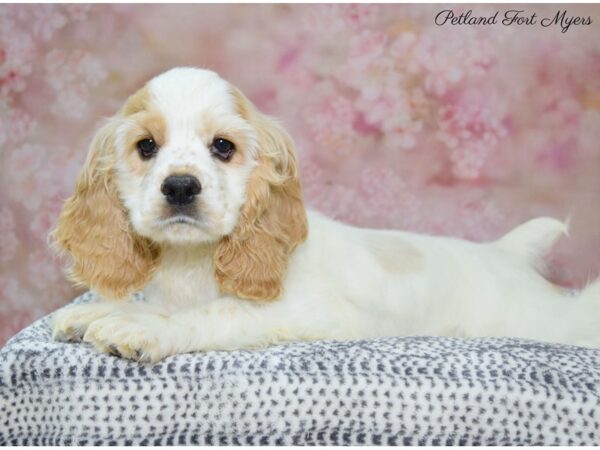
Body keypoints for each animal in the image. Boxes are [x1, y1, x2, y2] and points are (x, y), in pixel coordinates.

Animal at [50, 67, 600, 362]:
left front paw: (137, 329)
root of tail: (504, 254)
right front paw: (100, 311)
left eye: (223, 147)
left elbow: (213, 313)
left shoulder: (308, 313)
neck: (193, 261)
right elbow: (154, 304)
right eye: (146, 146)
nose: (181, 186)